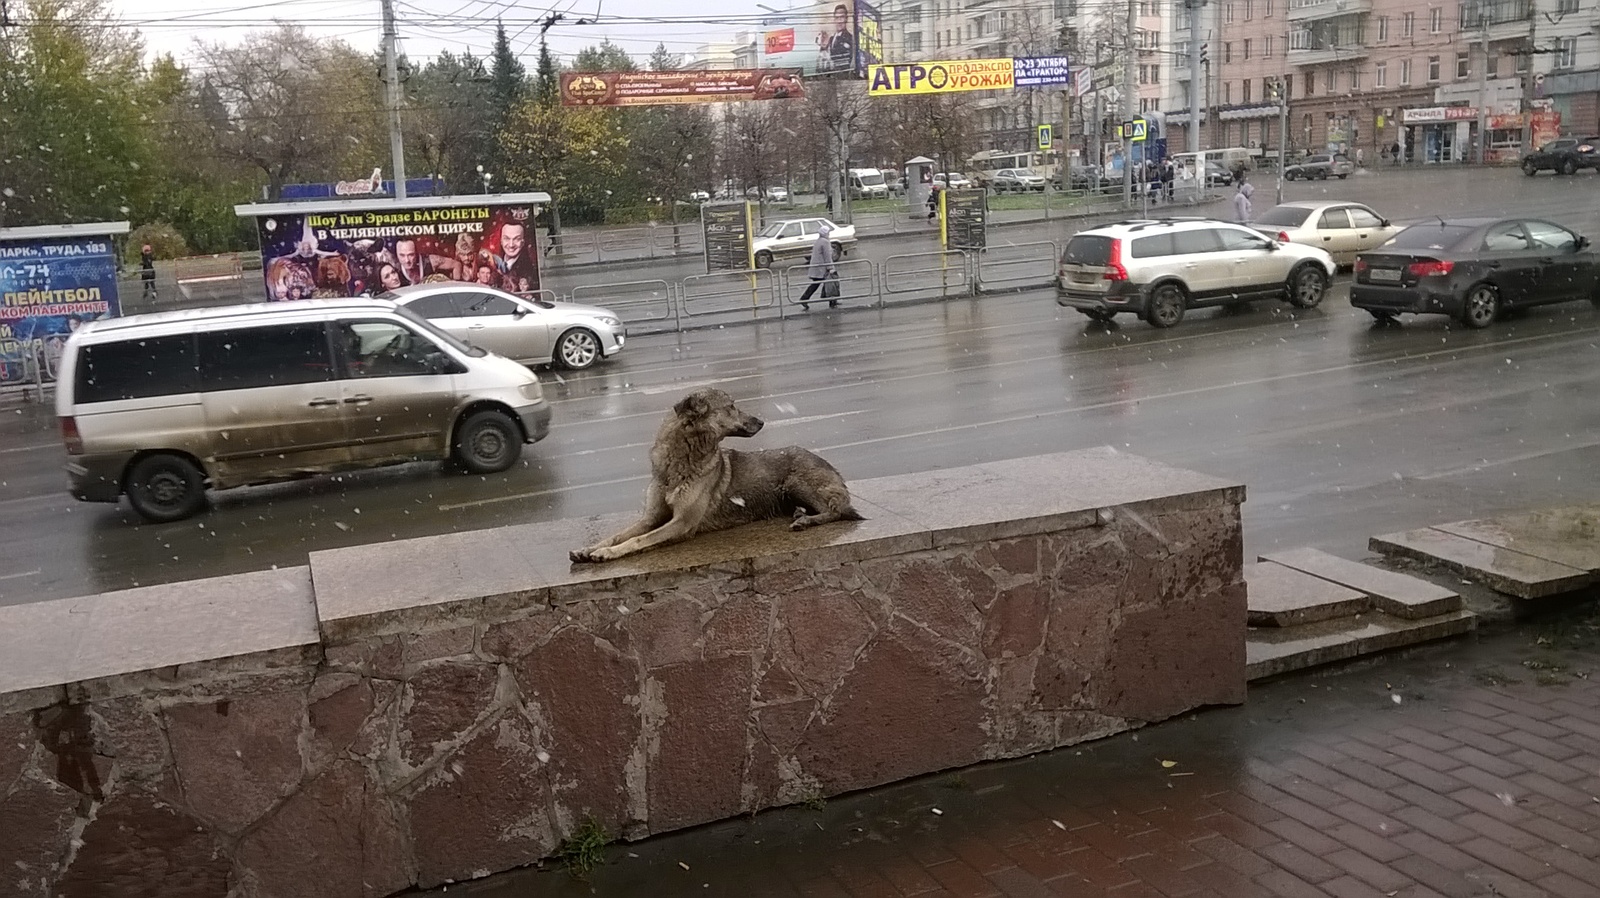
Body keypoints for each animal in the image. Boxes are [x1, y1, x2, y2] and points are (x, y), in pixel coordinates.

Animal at [566, 385, 864, 560]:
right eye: (731, 406)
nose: (761, 421)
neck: (681, 462)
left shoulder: (682, 523)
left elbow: (640, 539)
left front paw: (607, 553)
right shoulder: (652, 517)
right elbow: (620, 533)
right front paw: (590, 548)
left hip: (795, 482)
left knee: (837, 511)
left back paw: (806, 520)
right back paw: (801, 514)